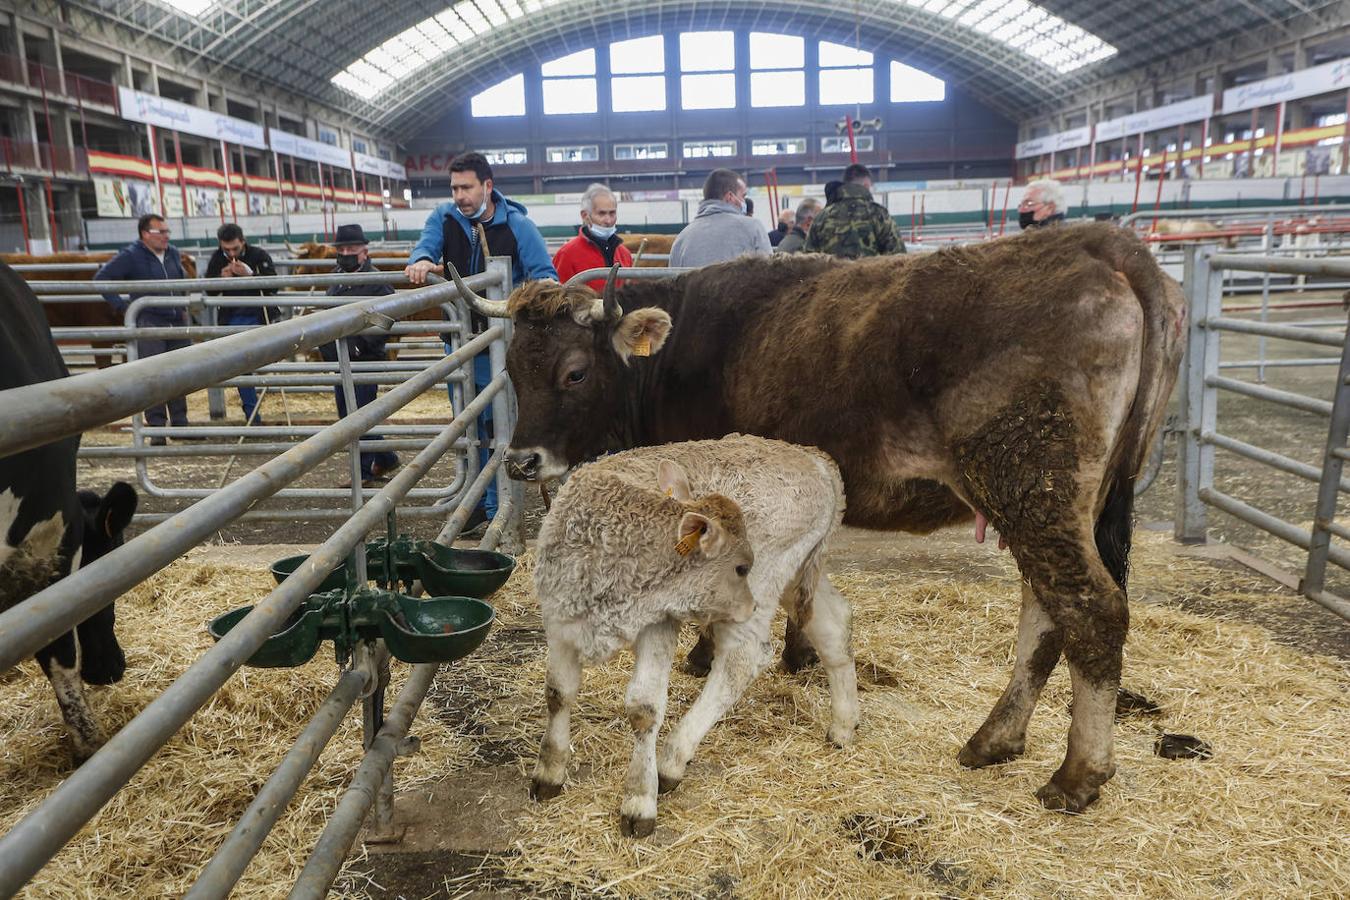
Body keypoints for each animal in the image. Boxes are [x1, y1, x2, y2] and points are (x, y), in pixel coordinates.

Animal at [450, 221, 1182, 814]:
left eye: (575, 372)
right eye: (513, 368)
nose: (521, 461)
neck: (675, 356)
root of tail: (1102, 243)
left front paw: (708, 654)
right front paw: (799, 654)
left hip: (1033, 486)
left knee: (1090, 610)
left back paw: (1078, 773)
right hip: (1046, 504)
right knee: (1045, 612)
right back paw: (995, 738)